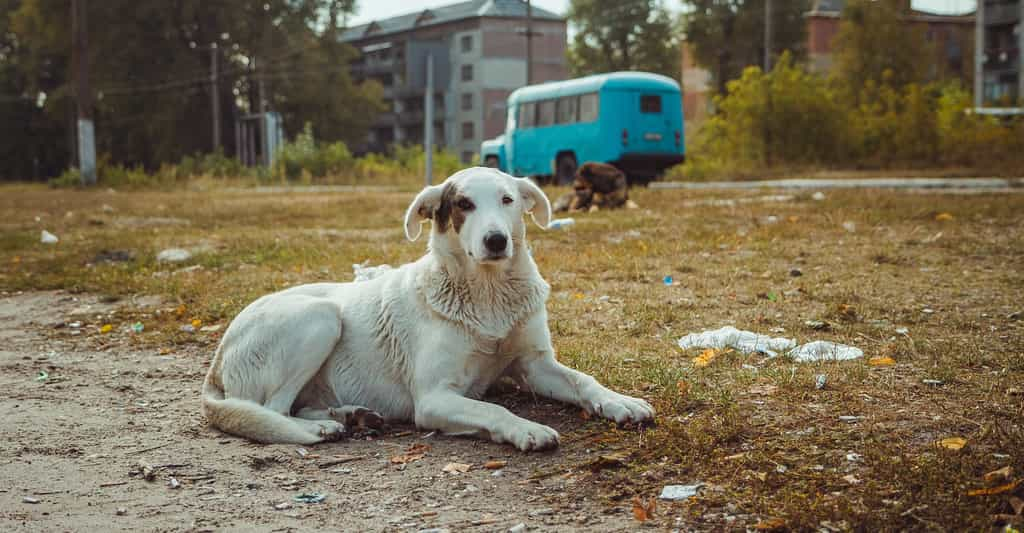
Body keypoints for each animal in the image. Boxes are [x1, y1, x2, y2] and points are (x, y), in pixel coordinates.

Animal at [201, 165, 655, 448]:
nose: (496, 241)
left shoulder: (536, 365)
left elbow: (584, 381)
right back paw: (325, 428)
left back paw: (351, 415)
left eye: (507, 200)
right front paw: (526, 428)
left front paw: (621, 401)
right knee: (272, 410)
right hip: (320, 317)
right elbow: (493, 407)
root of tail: (218, 356)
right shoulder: (435, 398)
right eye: (464, 204)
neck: (488, 294)